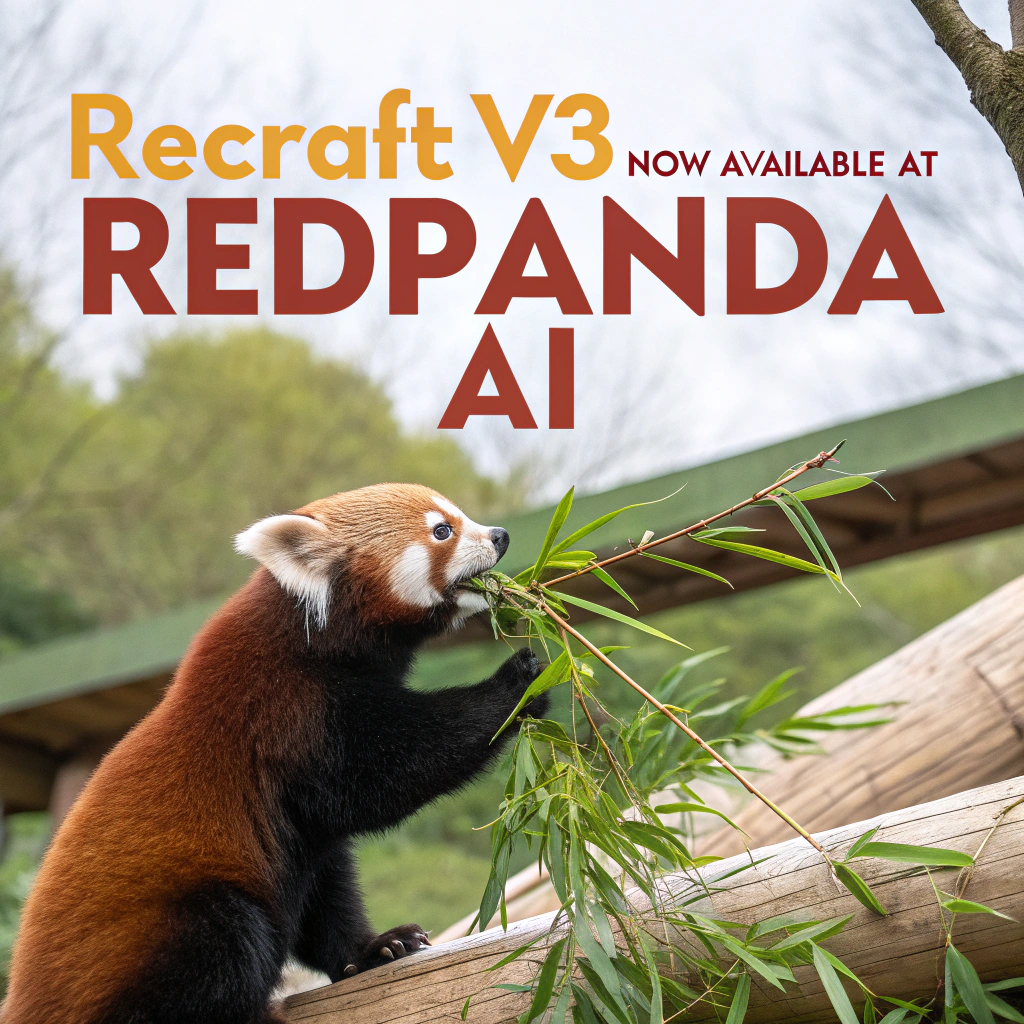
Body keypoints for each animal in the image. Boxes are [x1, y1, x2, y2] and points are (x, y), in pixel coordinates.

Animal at [1, 483, 546, 1024]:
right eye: (442, 531)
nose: (500, 536)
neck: (312, 635)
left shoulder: (298, 827)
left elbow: (326, 886)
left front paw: (373, 949)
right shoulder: (283, 712)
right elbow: (383, 774)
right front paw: (518, 683)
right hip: (162, 931)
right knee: (231, 934)